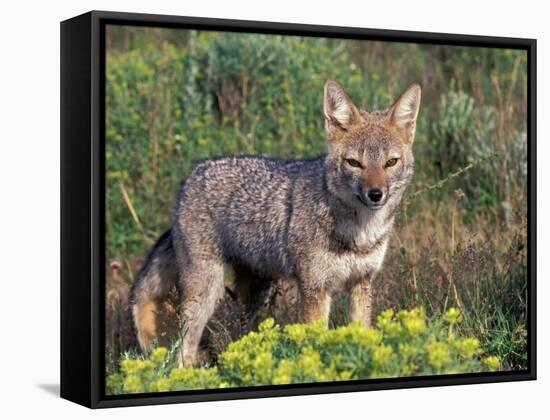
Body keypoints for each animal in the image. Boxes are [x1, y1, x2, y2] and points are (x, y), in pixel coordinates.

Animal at [129, 80, 422, 366]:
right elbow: (317, 340)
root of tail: (190, 177)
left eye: (390, 162)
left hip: (257, 294)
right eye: (354, 163)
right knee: (183, 351)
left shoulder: (362, 283)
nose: (376, 194)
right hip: (207, 292)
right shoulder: (314, 289)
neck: (359, 233)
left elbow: (363, 334)